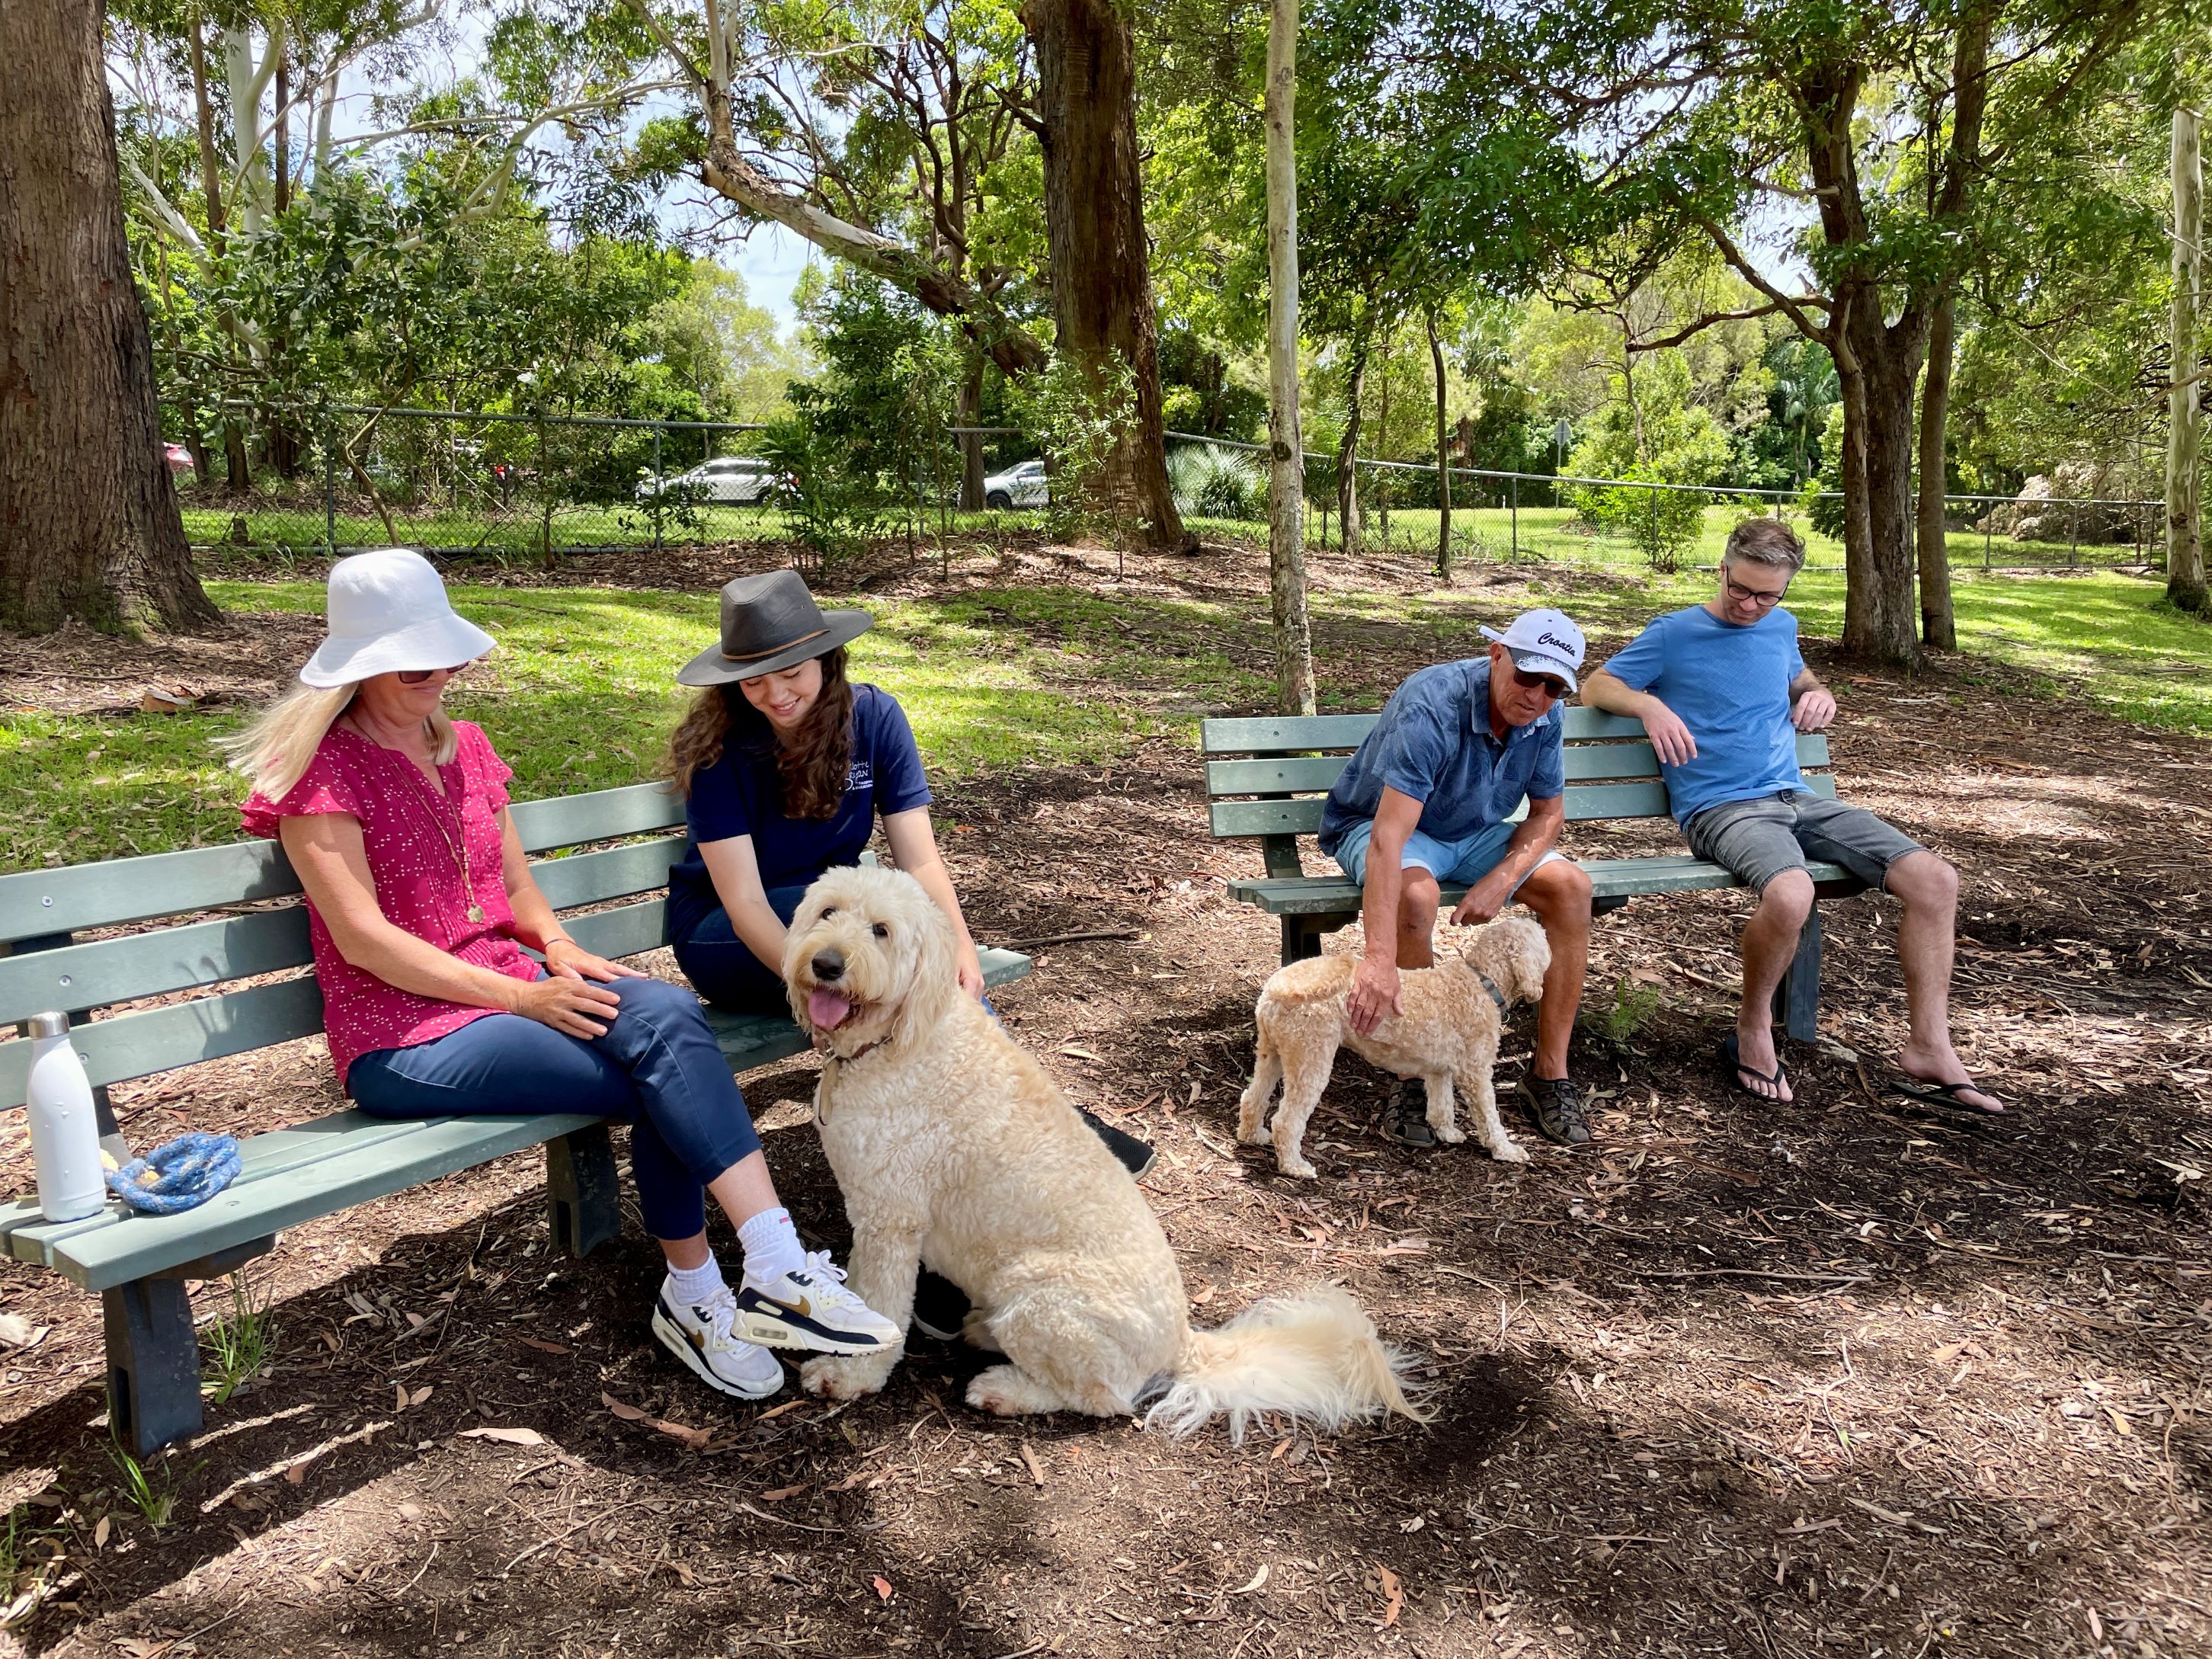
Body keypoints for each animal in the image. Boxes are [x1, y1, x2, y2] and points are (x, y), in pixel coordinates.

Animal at [787, 871, 1424, 1442]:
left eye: (881, 931)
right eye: (827, 912)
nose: (827, 964)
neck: (896, 1040)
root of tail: (1182, 1338)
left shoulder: (890, 1221)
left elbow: (880, 1309)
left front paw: (850, 1376)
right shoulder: (874, 1214)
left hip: (1038, 1296)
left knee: (1102, 1398)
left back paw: (1005, 1387)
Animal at [1238, 924, 1548, 1185]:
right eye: (1544, 941)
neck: (1482, 982)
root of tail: (1276, 986)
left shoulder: (1439, 1070)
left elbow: (1442, 1106)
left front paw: (1447, 1133)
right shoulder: (1476, 1072)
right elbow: (1489, 1117)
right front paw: (1506, 1150)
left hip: (1272, 1053)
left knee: (1252, 1098)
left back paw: (1253, 1135)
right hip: (1310, 1059)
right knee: (1286, 1121)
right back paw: (1295, 1166)